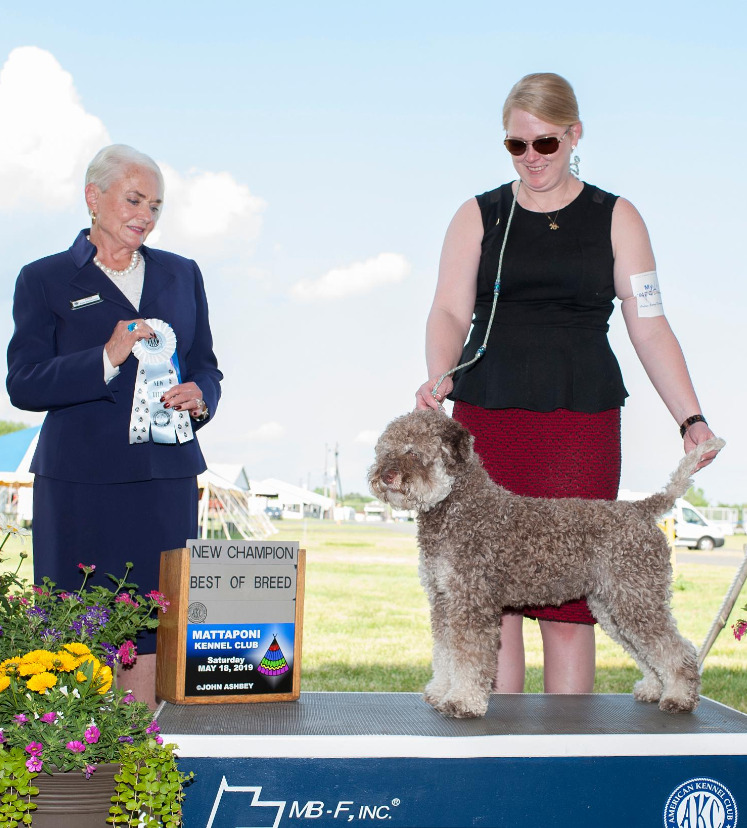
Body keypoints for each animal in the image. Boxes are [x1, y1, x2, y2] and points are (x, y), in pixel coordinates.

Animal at [372, 410, 728, 720]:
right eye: (385, 450)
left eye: (414, 451)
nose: (385, 475)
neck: (460, 507)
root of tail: (640, 509)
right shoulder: (443, 599)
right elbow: (445, 651)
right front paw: (439, 691)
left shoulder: (470, 602)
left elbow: (469, 657)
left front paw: (462, 701)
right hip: (613, 606)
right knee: (646, 649)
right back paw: (654, 688)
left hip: (636, 600)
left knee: (678, 650)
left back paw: (679, 696)